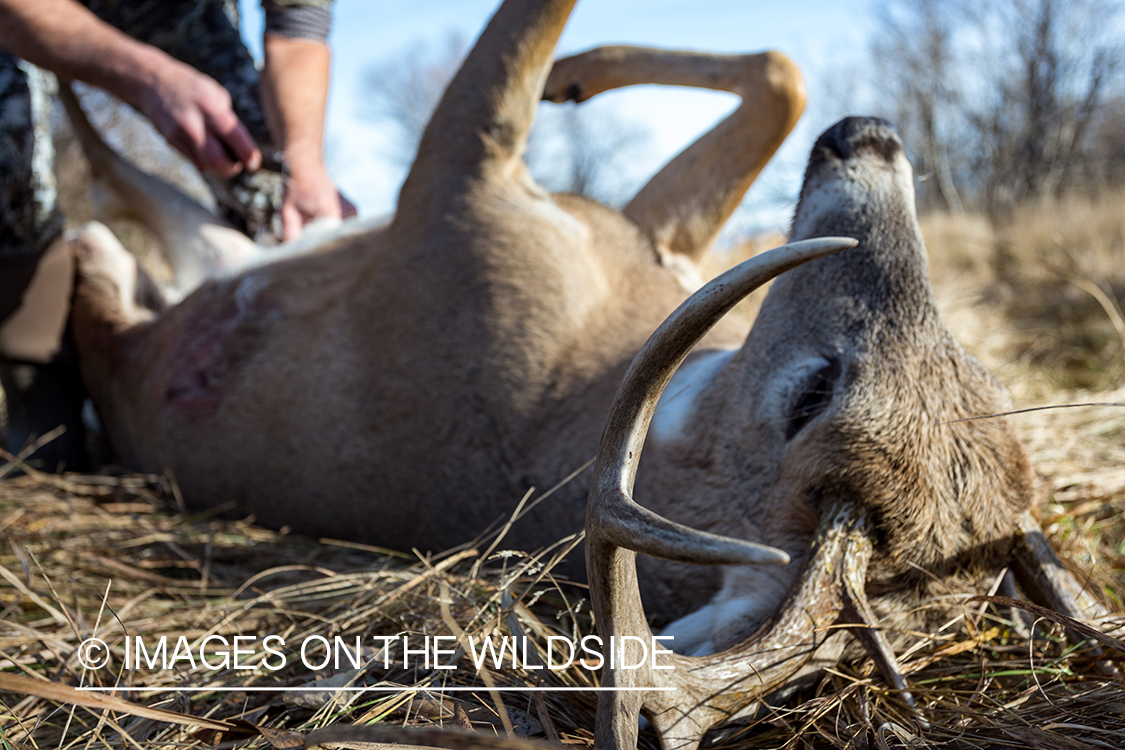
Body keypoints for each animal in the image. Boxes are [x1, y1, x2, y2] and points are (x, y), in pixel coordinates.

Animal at [65, 1, 1111, 750]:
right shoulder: (653, 231)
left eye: (813, 394)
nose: (873, 135)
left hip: (134, 315)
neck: (582, 371)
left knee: (97, 227)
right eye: (978, 369)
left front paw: (566, 74)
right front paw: (578, 76)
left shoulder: (453, 191)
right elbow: (781, 70)